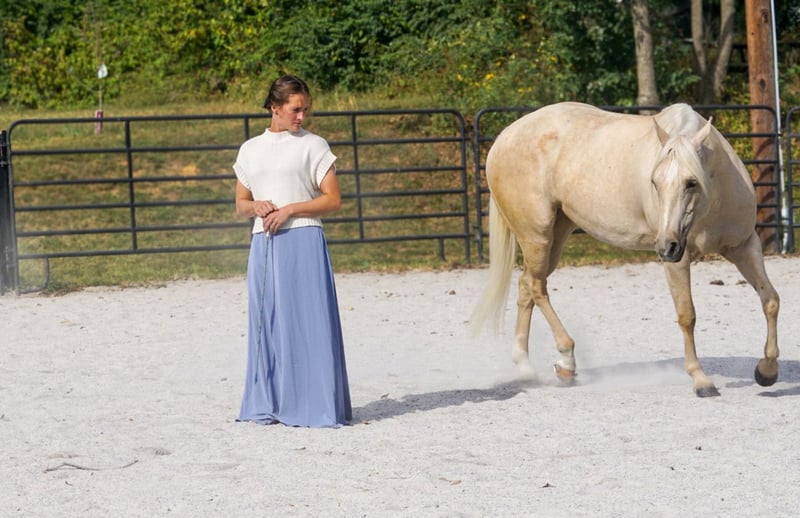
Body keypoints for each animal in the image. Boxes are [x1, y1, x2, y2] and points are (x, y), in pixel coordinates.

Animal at [470, 102, 780, 397]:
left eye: (692, 182)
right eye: (655, 182)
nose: (665, 246)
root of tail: (504, 138)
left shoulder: (744, 246)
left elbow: (770, 300)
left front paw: (767, 371)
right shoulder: (678, 262)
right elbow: (687, 316)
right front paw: (701, 380)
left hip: (556, 235)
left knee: (527, 285)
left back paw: (525, 365)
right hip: (537, 235)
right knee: (536, 287)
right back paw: (566, 360)